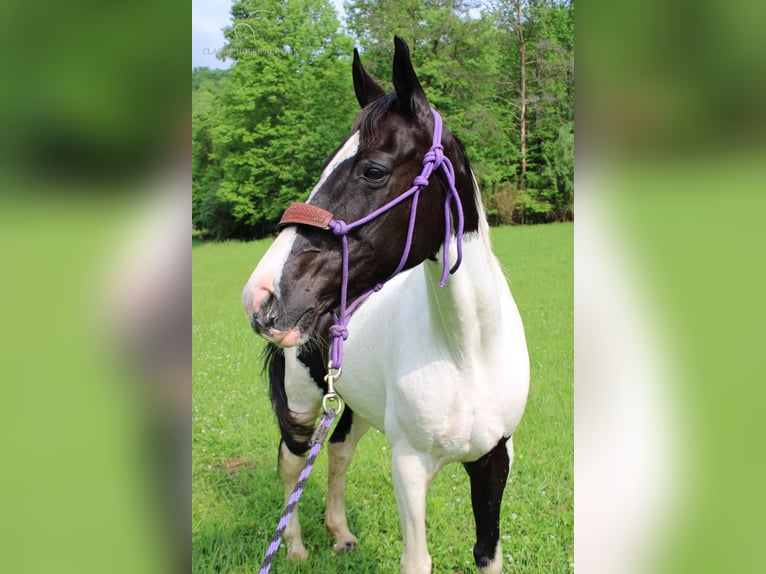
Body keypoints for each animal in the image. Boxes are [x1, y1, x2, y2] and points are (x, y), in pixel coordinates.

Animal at [243, 37, 532, 574]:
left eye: (373, 170)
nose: (261, 295)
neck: (466, 352)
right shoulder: (409, 465)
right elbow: (416, 561)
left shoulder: (494, 458)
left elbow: (488, 552)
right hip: (303, 402)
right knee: (293, 463)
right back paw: (295, 547)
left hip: (350, 403)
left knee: (337, 454)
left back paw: (340, 534)